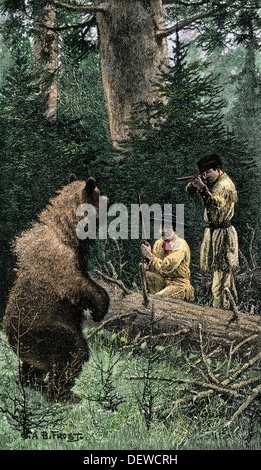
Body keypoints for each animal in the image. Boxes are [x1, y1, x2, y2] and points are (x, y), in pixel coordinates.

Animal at [3, 176, 110, 404]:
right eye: (100, 194)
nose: (112, 200)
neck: (68, 231)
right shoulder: (60, 259)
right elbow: (76, 284)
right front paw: (99, 307)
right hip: (48, 331)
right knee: (73, 352)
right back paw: (64, 394)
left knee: (34, 367)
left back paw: (35, 383)